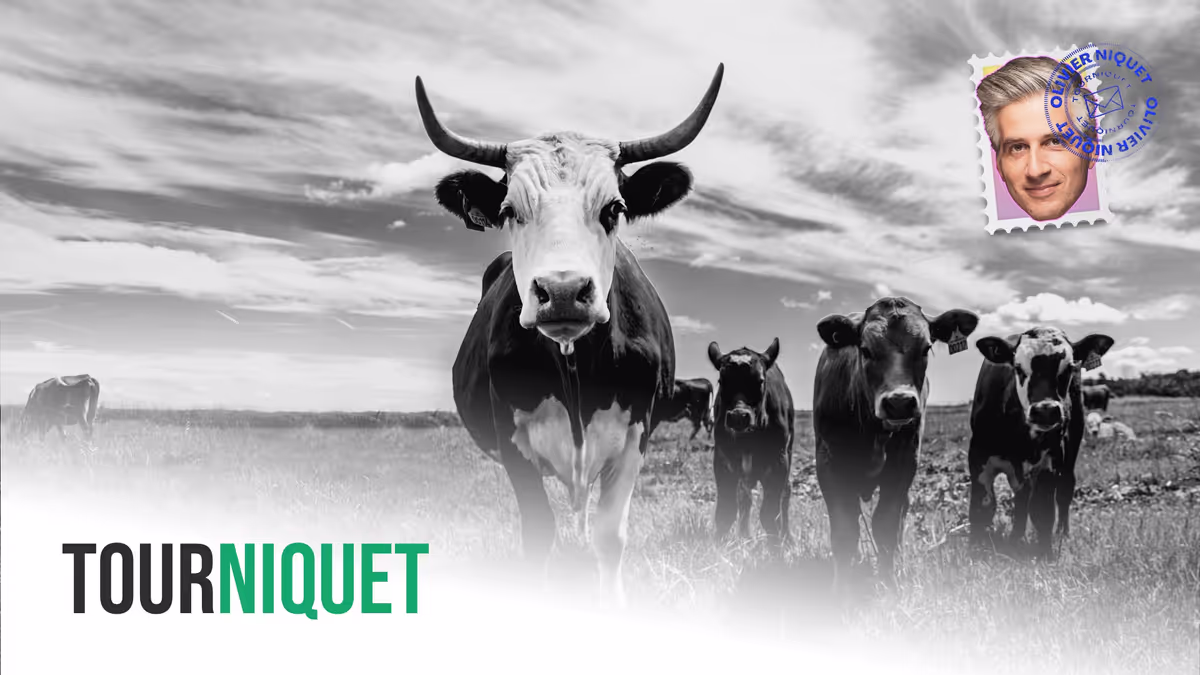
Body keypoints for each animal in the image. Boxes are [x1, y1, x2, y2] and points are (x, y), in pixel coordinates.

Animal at [417, 64, 724, 606]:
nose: (562, 291)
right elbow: (538, 535)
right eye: (509, 211)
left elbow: (609, 536)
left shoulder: (636, 435)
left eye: (614, 208)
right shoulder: (512, 438)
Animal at [707, 339, 794, 545]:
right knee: (744, 497)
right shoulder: (722, 460)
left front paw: (777, 549)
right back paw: (745, 535)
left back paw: (787, 537)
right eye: (722, 381)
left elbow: (770, 515)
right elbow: (726, 511)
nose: (738, 417)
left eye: (760, 381)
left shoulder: (779, 461)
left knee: (785, 493)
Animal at [813, 297, 979, 590]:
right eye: (865, 350)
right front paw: (841, 588)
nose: (899, 402)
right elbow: (844, 528)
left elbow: (887, 524)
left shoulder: (905, 462)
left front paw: (889, 582)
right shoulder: (828, 463)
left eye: (926, 348)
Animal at [968, 327, 1114, 559]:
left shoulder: (1050, 461)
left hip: (1072, 446)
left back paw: (1061, 533)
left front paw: (1045, 554)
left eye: (1069, 368)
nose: (1045, 410)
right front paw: (975, 549)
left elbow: (1042, 510)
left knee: (1064, 490)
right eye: (1018, 368)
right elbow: (982, 507)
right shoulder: (978, 457)